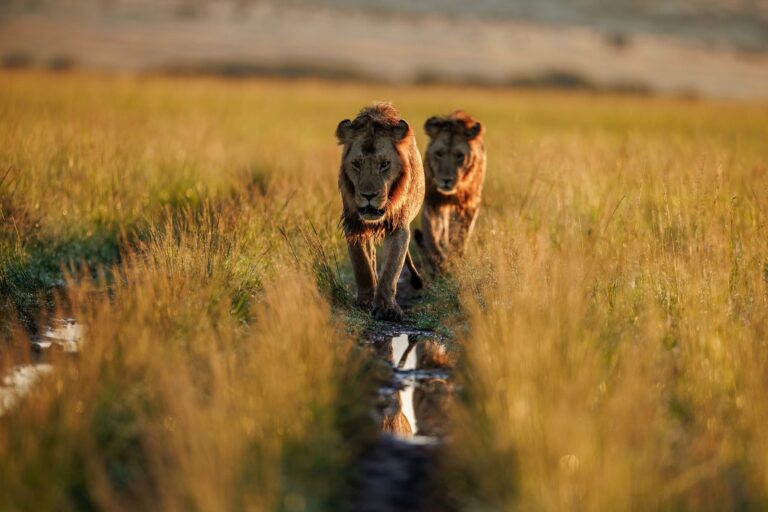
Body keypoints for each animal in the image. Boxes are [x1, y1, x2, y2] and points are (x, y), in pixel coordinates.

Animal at [336, 102, 425, 321]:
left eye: (384, 164)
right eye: (356, 164)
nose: (369, 195)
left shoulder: (399, 227)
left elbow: (391, 268)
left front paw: (387, 307)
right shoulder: (353, 223)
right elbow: (362, 264)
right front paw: (366, 301)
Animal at [415, 111, 486, 271]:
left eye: (460, 156)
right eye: (439, 154)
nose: (446, 180)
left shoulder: (469, 204)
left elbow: (461, 234)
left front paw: (455, 258)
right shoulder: (433, 201)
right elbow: (431, 233)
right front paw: (438, 259)